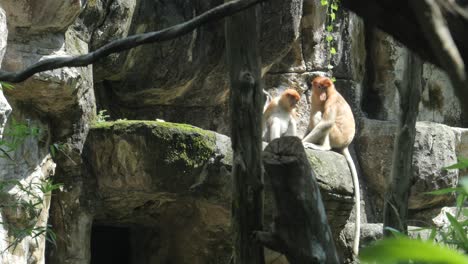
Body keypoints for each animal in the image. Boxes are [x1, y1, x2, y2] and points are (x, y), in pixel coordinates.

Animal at [302, 76, 360, 256]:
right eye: (319, 87)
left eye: (325, 88)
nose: (322, 96)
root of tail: (346, 144)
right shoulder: (314, 99)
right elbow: (312, 121)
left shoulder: (332, 100)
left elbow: (326, 122)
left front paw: (301, 142)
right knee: (316, 115)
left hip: (337, 135)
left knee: (326, 121)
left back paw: (323, 147)